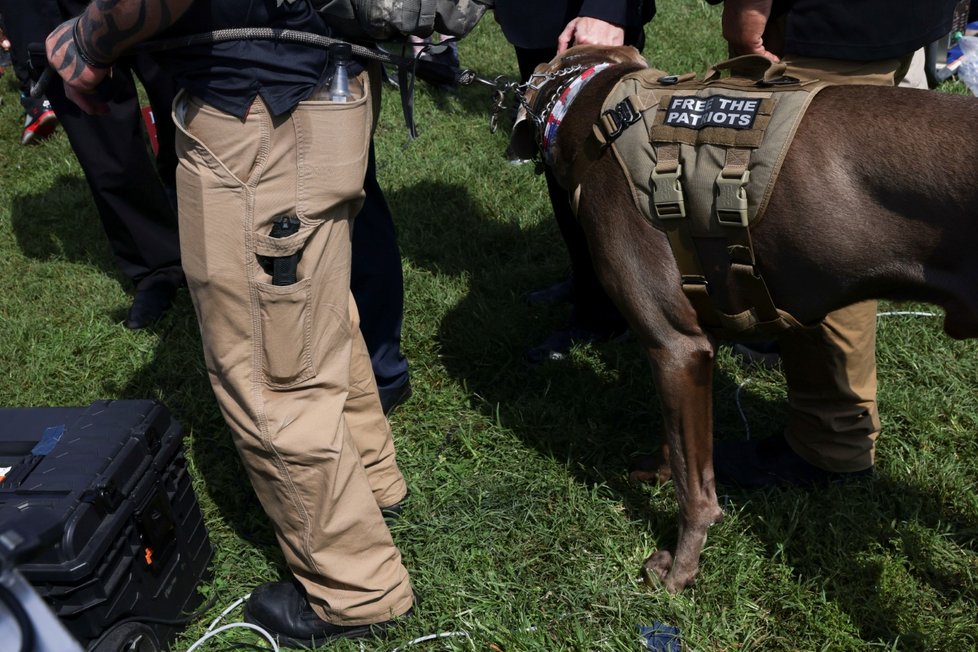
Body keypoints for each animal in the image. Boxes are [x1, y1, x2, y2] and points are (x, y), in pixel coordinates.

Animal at [510, 43, 976, 588]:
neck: (599, 111)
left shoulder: (674, 343)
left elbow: (695, 490)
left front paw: (678, 569)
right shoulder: (690, 350)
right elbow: (681, 447)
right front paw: (656, 469)